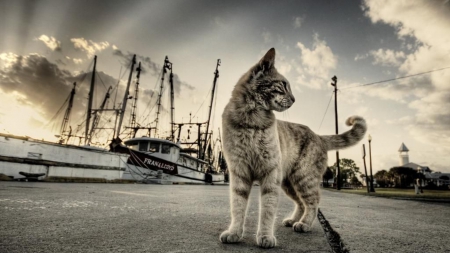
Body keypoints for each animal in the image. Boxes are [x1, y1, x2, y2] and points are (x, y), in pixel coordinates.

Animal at [220, 48, 368, 249]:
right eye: (283, 85)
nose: (294, 99)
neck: (252, 118)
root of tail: (318, 136)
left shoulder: (270, 176)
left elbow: (267, 211)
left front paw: (265, 236)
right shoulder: (239, 173)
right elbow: (237, 206)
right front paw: (234, 232)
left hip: (303, 178)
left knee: (313, 202)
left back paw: (304, 223)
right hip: (289, 183)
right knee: (301, 203)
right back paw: (293, 220)